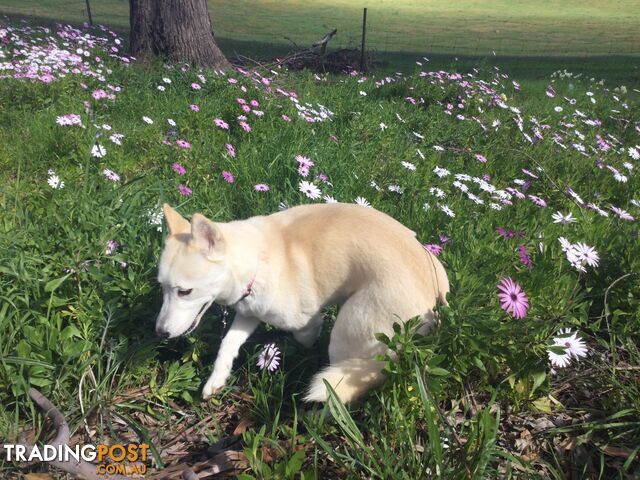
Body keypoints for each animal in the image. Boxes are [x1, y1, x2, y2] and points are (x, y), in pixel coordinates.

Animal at [154, 201, 450, 404]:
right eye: (162, 288)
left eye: (185, 291)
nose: (159, 333)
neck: (257, 260)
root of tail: (435, 298)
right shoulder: (249, 313)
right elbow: (227, 344)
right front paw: (217, 379)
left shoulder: (306, 325)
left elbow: (303, 343)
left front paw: (295, 358)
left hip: (345, 335)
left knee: (339, 388)